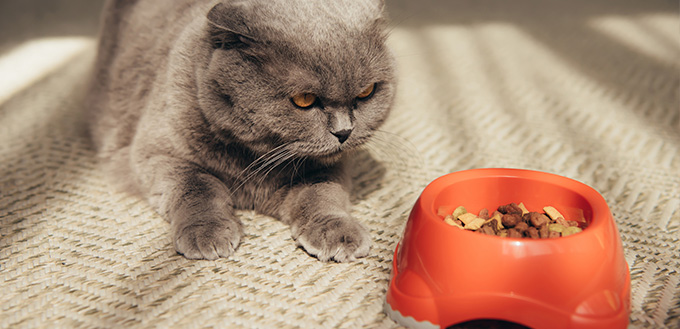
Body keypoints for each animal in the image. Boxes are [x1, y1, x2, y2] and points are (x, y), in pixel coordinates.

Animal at [89, 0, 398, 262]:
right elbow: (197, 185)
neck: (255, 159)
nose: (344, 132)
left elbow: (322, 194)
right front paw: (207, 232)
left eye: (367, 92)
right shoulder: (157, 152)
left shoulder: (330, 167)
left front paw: (337, 232)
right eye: (304, 100)